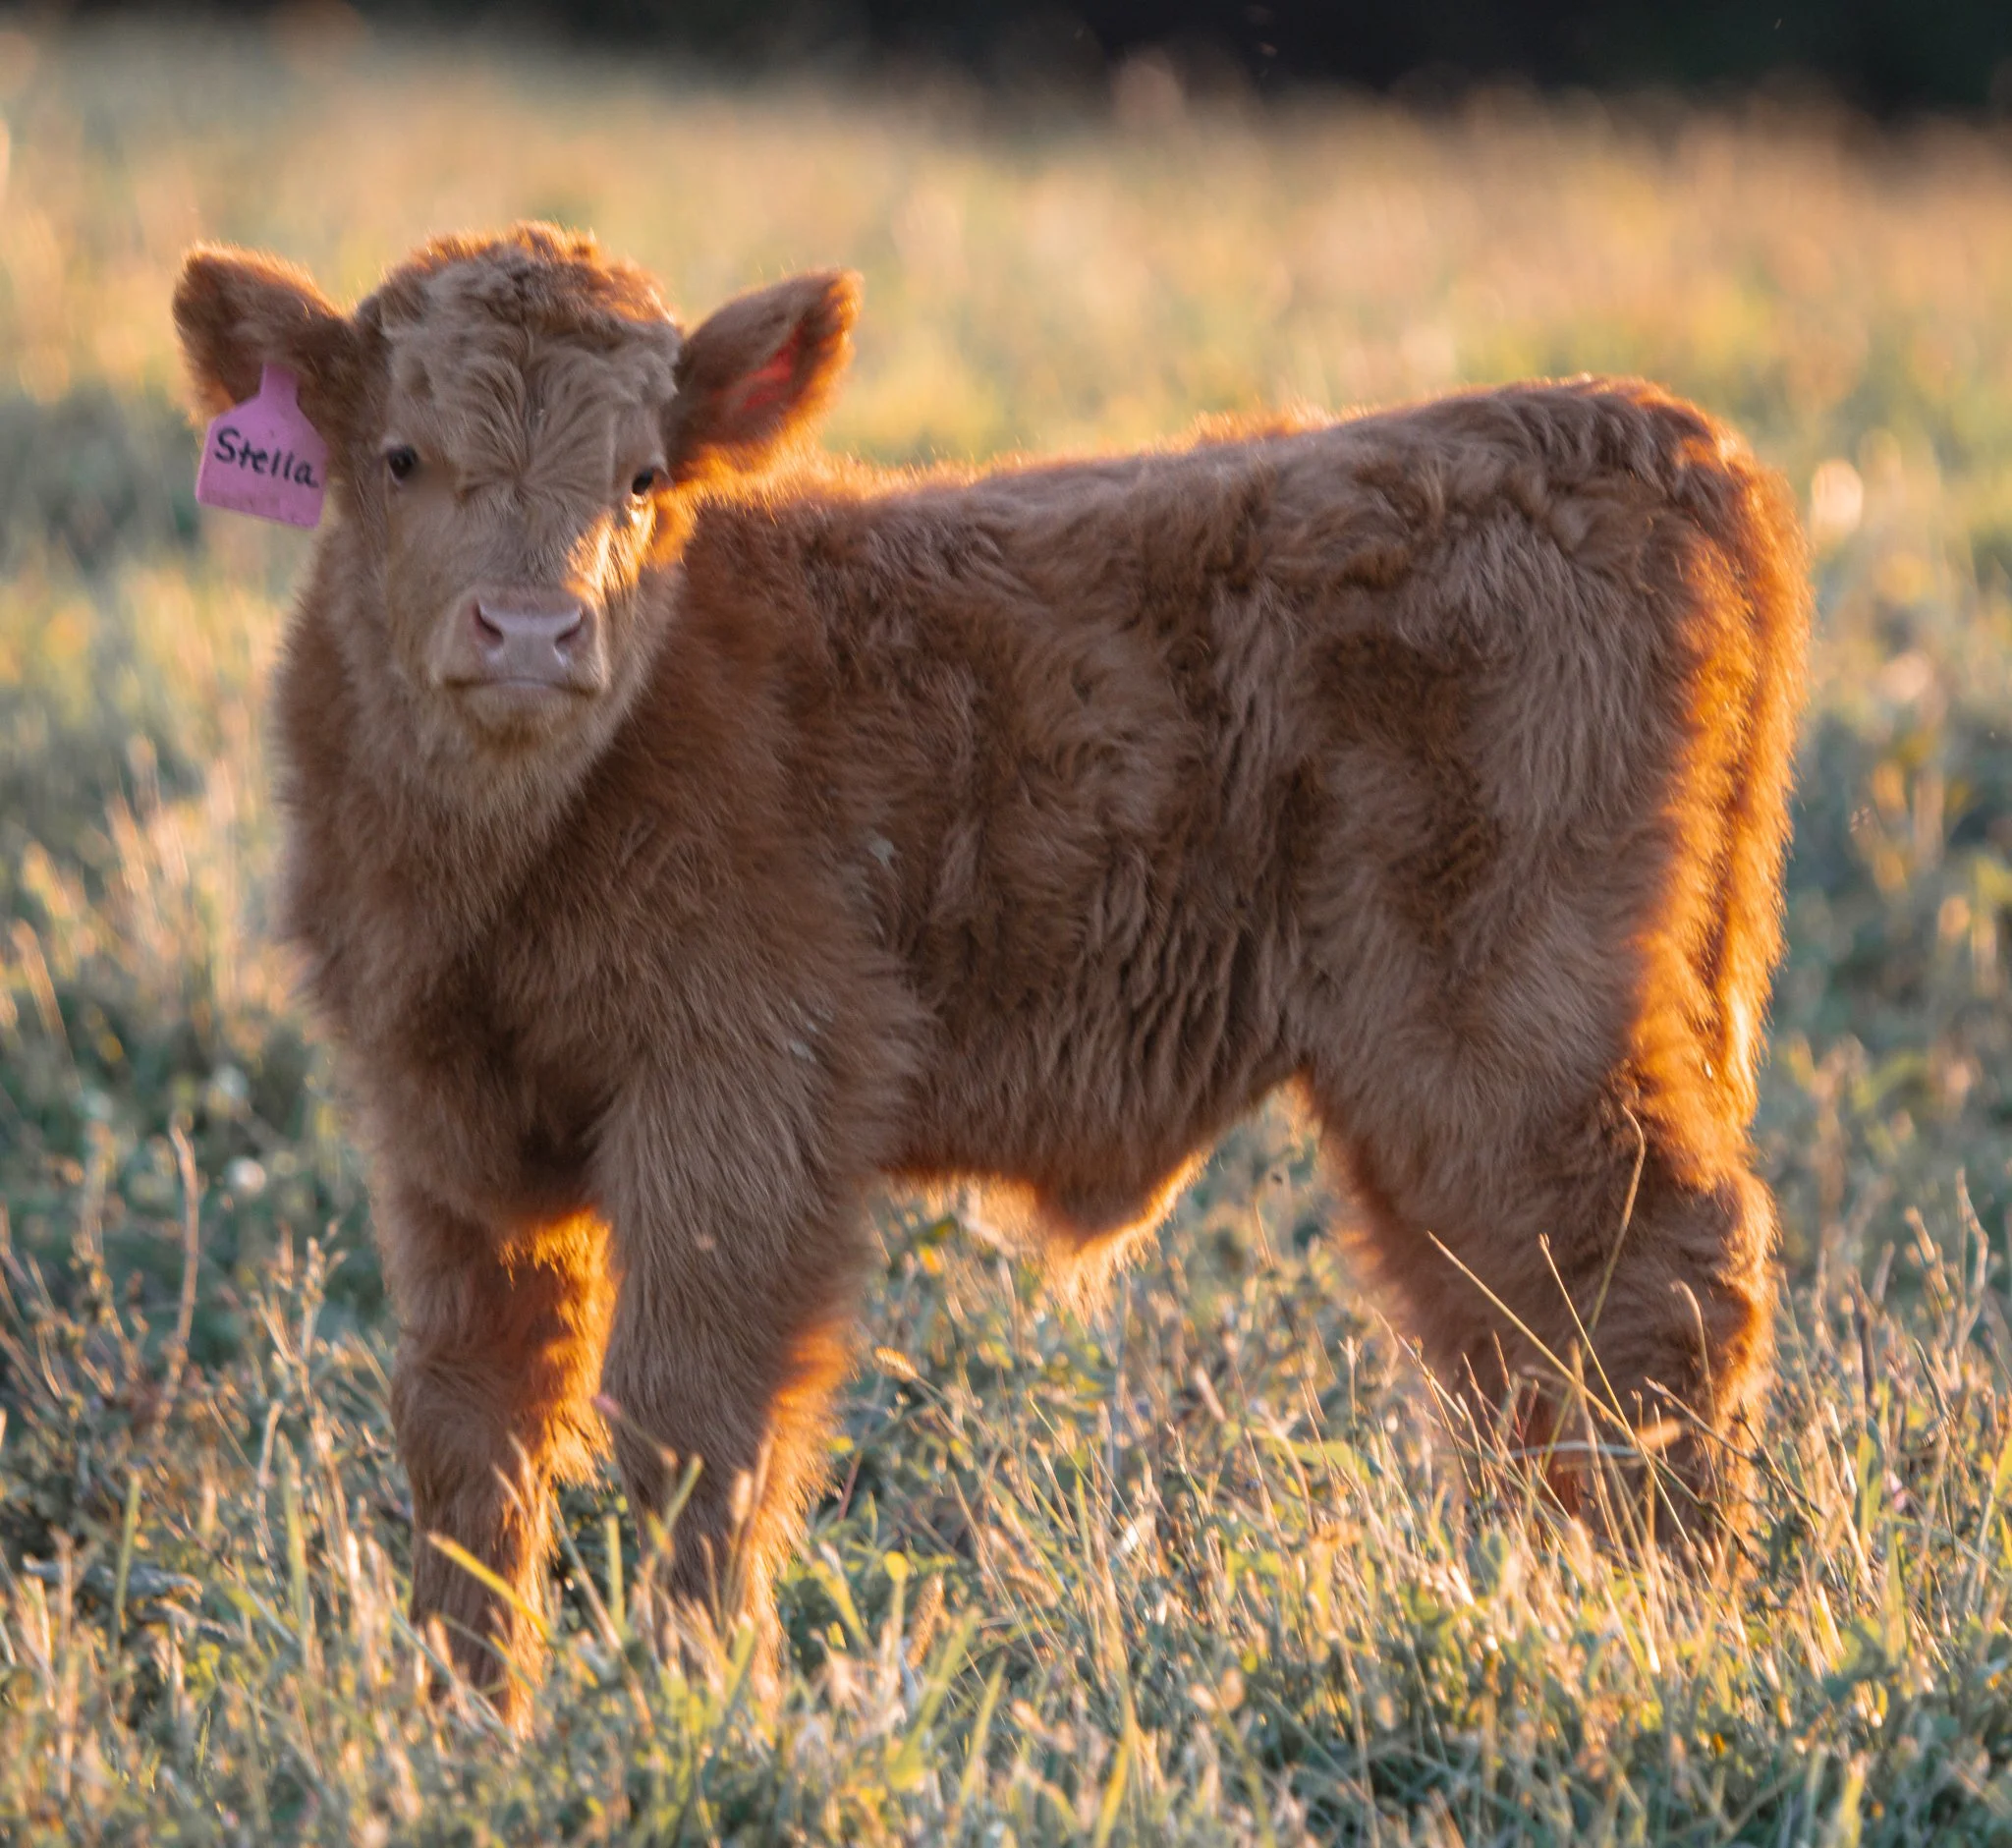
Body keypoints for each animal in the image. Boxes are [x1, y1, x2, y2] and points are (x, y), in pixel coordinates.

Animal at [173, 222, 1807, 1717]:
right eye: (399, 457)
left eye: (640, 477)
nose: (530, 630)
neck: (503, 858)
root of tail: (1651, 433)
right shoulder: (444, 1137)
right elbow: (475, 1429)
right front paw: (468, 1714)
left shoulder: (743, 1100)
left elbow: (694, 1420)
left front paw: (693, 1700)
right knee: (1516, 1341)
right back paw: (1565, 1601)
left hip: (1510, 1037)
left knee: (1651, 1290)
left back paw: (1667, 1629)